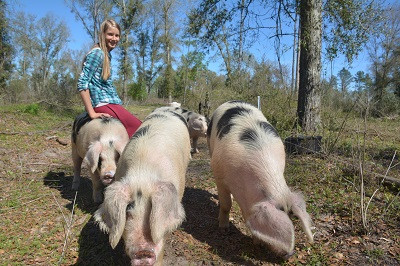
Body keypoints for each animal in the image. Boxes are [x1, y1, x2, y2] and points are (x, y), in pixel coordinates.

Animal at [208, 101, 314, 258]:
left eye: (292, 217)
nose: (290, 255)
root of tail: (233, 101)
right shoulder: (219, 174)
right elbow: (226, 205)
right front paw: (223, 229)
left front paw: (257, 243)